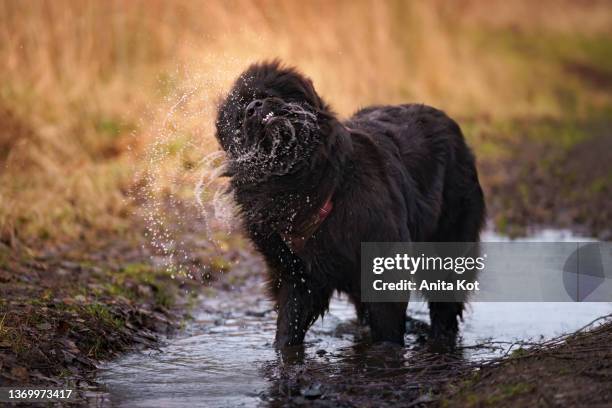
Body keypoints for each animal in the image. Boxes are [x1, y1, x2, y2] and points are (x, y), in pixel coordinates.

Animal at [218, 60, 486, 348]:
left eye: (270, 95)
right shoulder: (295, 277)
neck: (303, 188)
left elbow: (388, 331)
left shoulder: (384, 267)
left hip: (450, 243)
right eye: (240, 114)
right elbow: (287, 329)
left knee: (445, 303)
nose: (254, 107)